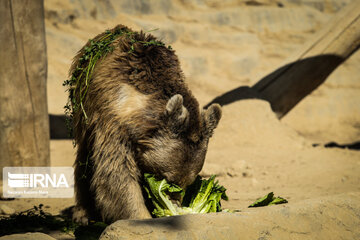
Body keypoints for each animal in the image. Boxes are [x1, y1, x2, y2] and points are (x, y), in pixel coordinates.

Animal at [67, 24, 219, 223]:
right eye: (168, 178)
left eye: (188, 182)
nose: (174, 203)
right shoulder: (113, 122)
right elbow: (116, 174)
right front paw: (142, 215)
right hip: (83, 110)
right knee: (85, 158)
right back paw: (83, 213)